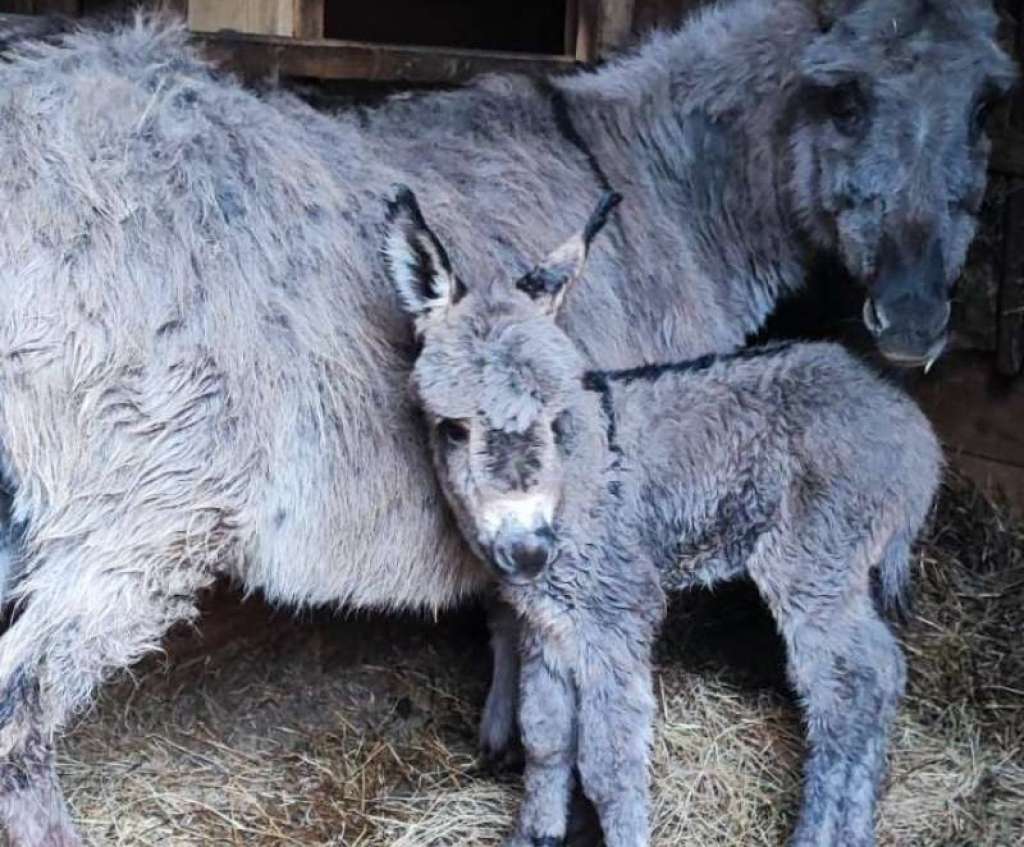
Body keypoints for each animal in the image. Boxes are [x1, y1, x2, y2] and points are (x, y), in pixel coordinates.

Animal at [385, 187, 942, 847]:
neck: (575, 480)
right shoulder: (547, 622)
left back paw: (816, 833)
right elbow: (545, 738)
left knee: (850, 688)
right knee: (881, 676)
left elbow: (608, 766)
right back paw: (856, 828)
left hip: (813, 565)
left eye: (555, 419)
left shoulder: (616, 617)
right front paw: (535, 834)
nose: (528, 551)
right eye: (453, 428)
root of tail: (906, 420)